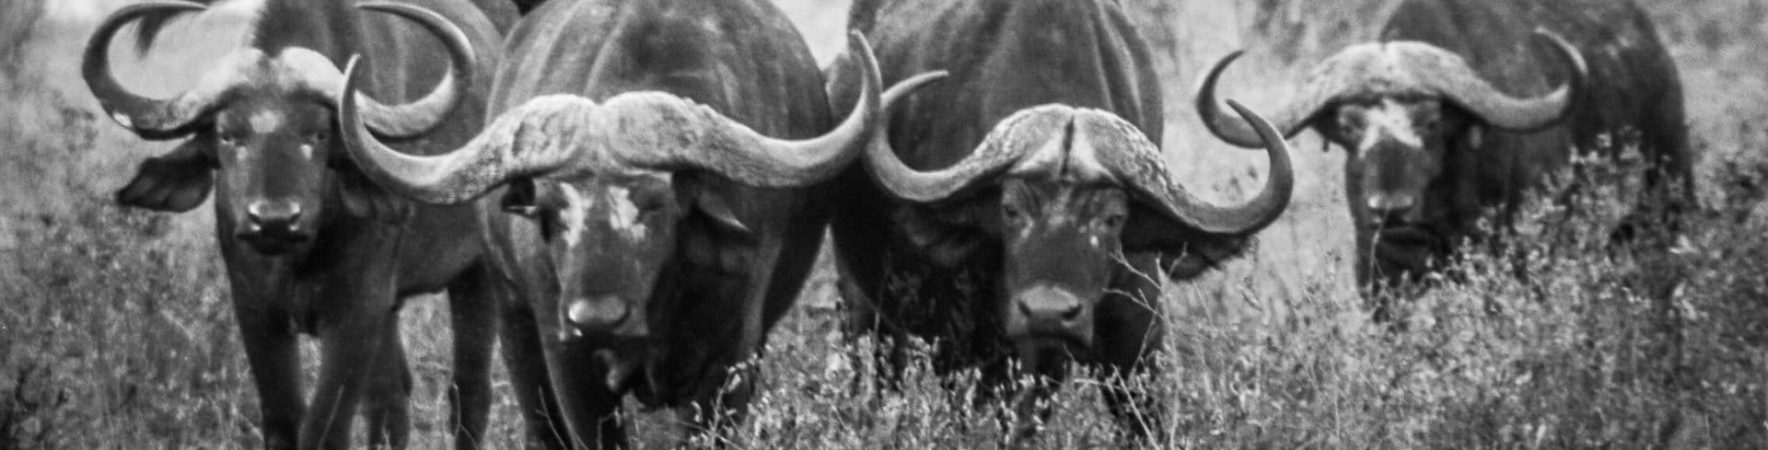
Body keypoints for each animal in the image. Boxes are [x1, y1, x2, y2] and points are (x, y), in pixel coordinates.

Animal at [83, 0, 506, 448]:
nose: (274, 220)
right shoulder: (256, 310)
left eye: (318, 134)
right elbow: (284, 418)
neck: (298, 255)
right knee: (391, 396)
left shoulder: (355, 312)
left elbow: (325, 428)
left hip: (479, 276)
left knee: (469, 390)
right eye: (227, 134)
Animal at [336, 0, 931, 447]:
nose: (597, 316)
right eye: (550, 209)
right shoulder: (566, 358)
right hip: (510, 318)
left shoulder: (732, 357)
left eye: (655, 204)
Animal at [833, 0, 1294, 443]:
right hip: (866, 310)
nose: (1048, 313)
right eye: (1010, 210)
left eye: (1113, 218)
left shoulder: (1136, 341)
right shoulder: (966, 348)